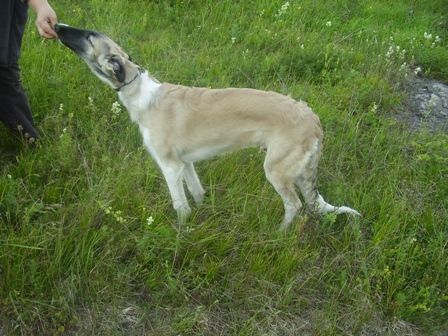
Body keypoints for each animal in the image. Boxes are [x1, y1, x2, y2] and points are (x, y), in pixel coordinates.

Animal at [54, 23, 360, 228]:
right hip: (296, 170)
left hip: (276, 170)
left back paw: (279, 233)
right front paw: (203, 214)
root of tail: (312, 118)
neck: (141, 93)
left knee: (294, 205)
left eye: (89, 36)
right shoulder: (185, 163)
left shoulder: (169, 166)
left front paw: (181, 232)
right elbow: (197, 192)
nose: (57, 26)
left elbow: (180, 206)